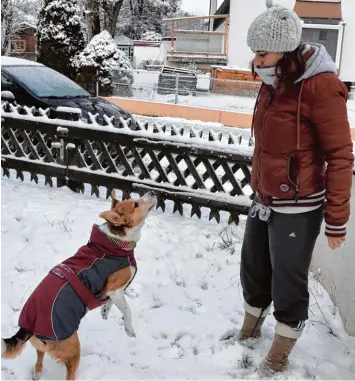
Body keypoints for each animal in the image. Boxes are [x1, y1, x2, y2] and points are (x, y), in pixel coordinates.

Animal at [1, 189, 156, 378]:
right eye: (136, 204)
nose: (152, 191)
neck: (116, 241)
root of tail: (28, 327)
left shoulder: (112, 293)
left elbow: (110, 303)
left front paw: (105, 312)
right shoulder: (115, 290)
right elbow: (127, 310)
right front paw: (129, 329)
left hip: (43, 346)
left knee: (39, 357)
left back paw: (37, 373)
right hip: (73, 349)